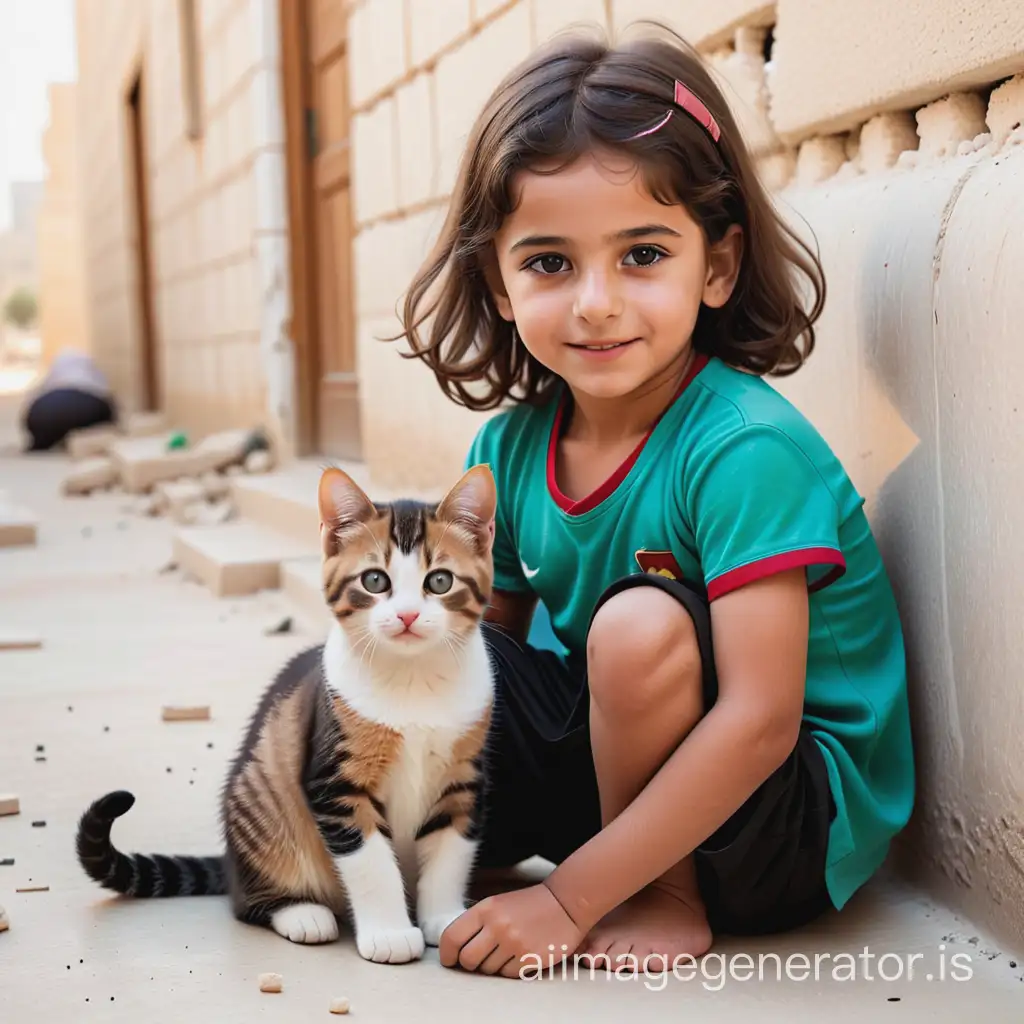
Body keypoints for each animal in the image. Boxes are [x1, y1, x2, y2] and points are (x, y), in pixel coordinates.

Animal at [74, 464, 495, 958]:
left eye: (440, 581)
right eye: (375, 580)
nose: (407, 616)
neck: (413, 681)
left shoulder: (463, 780)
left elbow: (450, 855)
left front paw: (446, 920)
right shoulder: (335, 784)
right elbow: (371, 861)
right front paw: (390, 933)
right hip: (261, 806)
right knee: (246, 903)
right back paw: (301, 913)